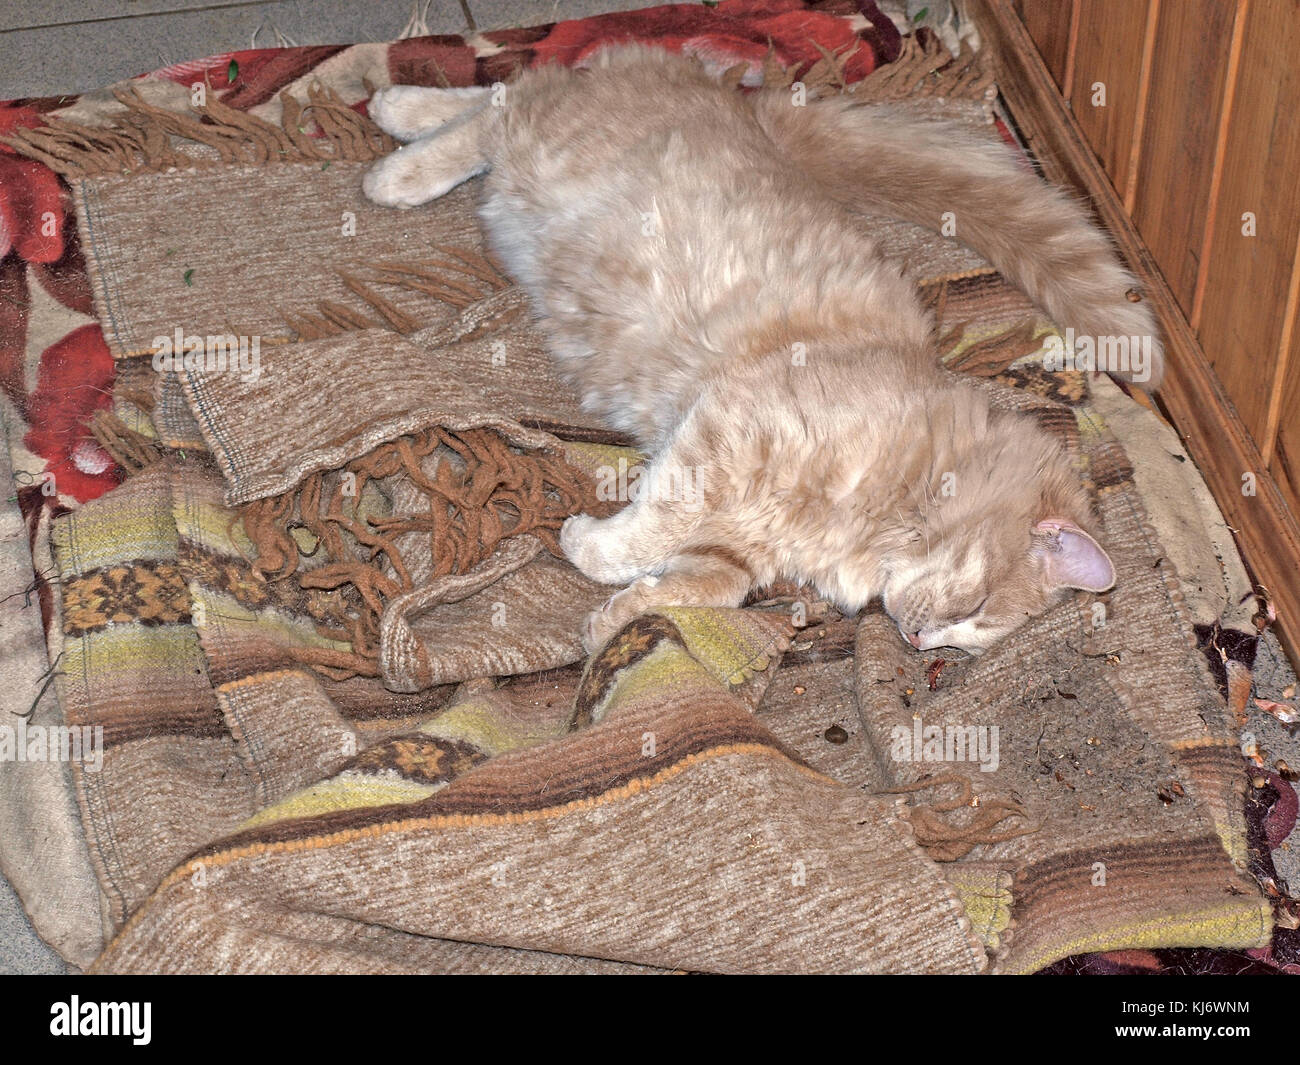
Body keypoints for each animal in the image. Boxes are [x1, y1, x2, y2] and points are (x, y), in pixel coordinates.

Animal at [361, 45, 1164, 657]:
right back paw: (397, 163)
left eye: (969, 639)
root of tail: (748, 108)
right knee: (511, 101)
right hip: (549, 149)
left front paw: (616, 620)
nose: (916, 641)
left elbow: (698, 587)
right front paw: (590, 546)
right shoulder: (729, 430)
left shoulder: (739, 542)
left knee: (513, 87)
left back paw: (396, 109)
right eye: (976, 609)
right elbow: (648, 527)